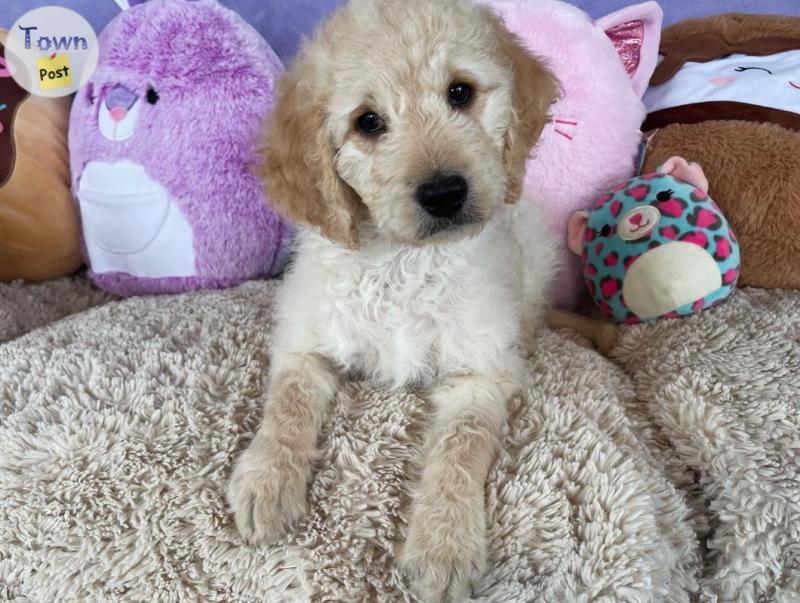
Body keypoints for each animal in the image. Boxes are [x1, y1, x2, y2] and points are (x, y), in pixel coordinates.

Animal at [227, 0, 556, 600]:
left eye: (460, 93)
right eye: (368, 122)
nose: (444, 193)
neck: (403, 261)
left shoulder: (481, 371)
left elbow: (461, 446)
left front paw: (444, 543)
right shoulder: (305, 341)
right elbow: (287, 404)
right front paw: (267, 478)